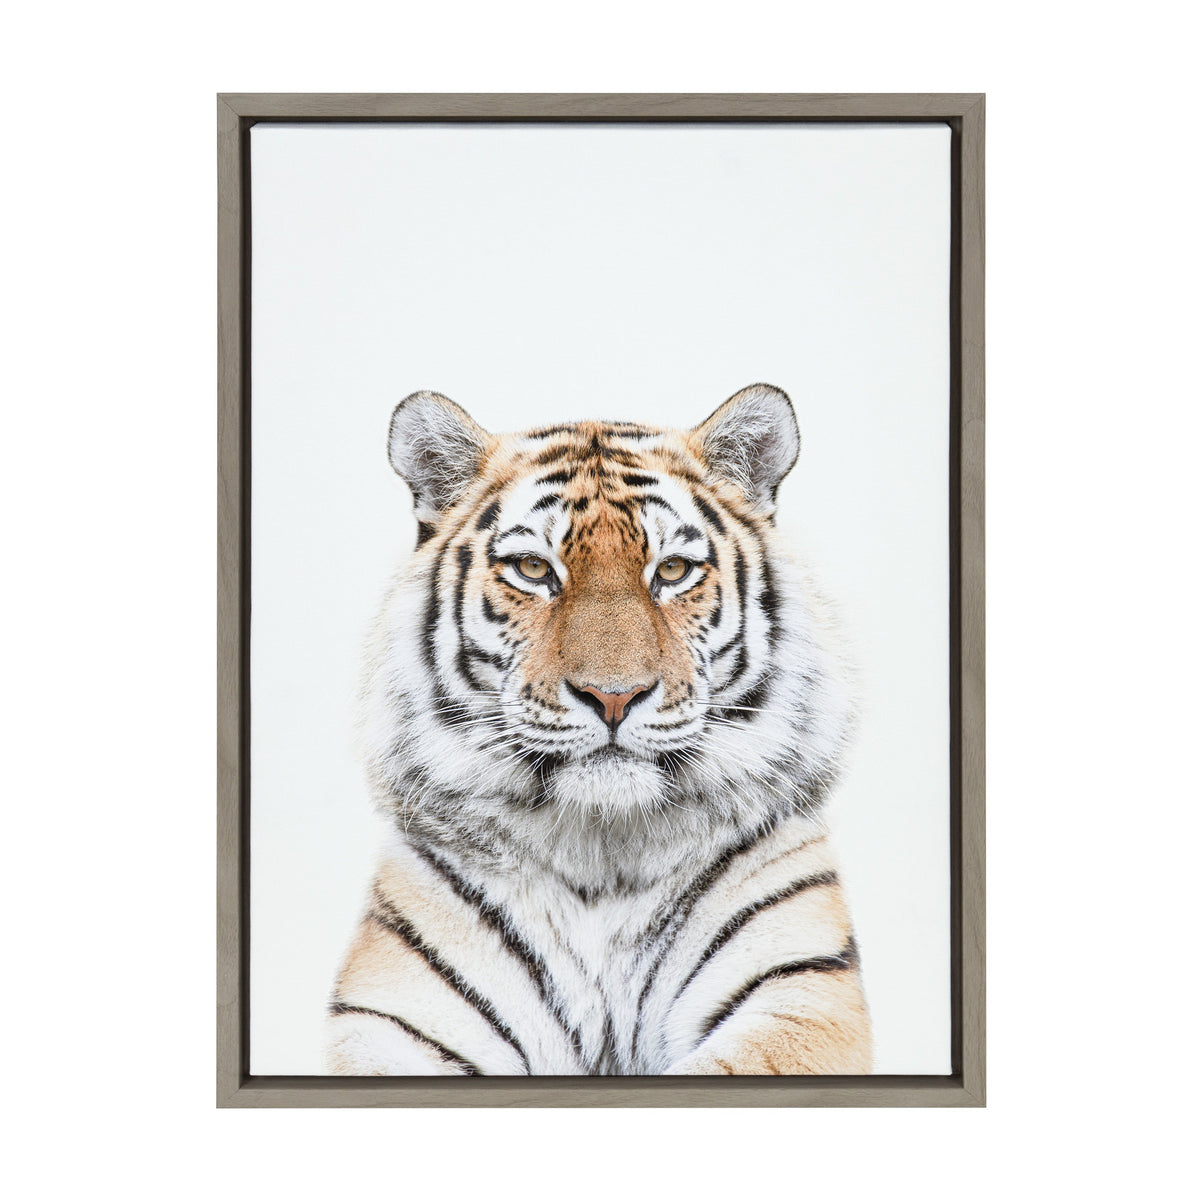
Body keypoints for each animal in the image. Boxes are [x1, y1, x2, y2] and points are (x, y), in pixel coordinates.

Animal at [326, 383, 872, 1076]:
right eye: (533, 569)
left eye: (673, 571)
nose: (614, 697)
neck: (602, 861)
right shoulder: (394, 1020)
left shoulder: (801, 996)